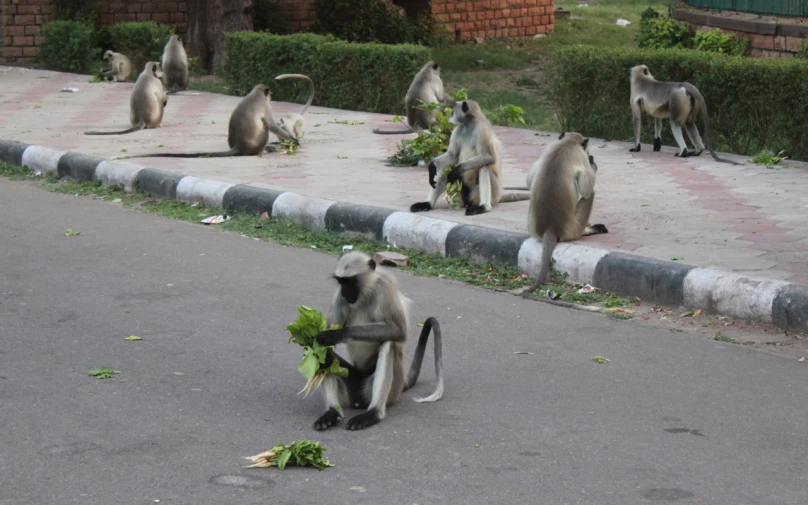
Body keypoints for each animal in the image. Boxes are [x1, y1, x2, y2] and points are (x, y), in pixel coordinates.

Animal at [109, 83, 296, 159]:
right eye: (269, 95)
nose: (272, 96)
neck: (256, 94)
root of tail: (238, 146)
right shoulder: (265, 106)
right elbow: (272, 125)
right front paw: (294, 140)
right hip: (257, 143)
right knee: (265, 128)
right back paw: (266, 150)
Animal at [310, 252, 448, 430]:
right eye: (341, 282)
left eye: (351, 281)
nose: (345, 291)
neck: (365, 293)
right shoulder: (339, 296)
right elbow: (319, 342)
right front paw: (320, 348)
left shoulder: (384, 286)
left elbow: (398, 332)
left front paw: (337, 334)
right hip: (351, 384)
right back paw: (332, 412)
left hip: (391, 389)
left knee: (388, 343)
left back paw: (374, 413)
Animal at [520, 132, 608, 298]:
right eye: (585, 150)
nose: (590, 155)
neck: (567, 144)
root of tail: (550, 227)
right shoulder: (580, 156)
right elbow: (586, 190)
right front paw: (592, 163)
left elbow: (529, 182)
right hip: (573, 227)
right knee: (589, 194)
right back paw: (590, 229)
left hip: (531, 225)